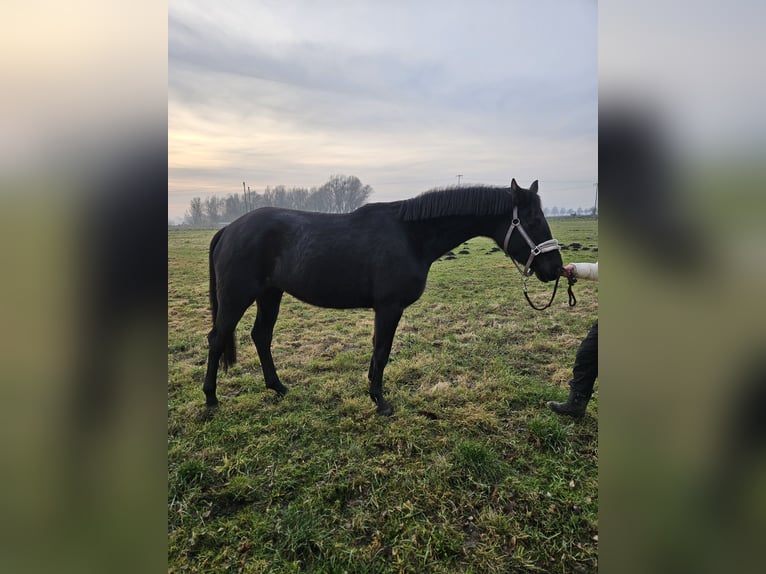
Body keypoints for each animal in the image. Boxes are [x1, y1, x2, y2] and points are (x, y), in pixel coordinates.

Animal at [204, 179, 564, 414]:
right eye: (533, 220)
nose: (555, 268)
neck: (410, 236)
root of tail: (229, 229)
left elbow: (378, 350)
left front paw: (374, 392)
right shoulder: (389, 307)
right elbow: (382, 351)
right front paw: (380, 401)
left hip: (270, 294)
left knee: (261, 336)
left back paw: (277, 387)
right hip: (237, 297)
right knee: (218, 338)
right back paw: (211, 399)